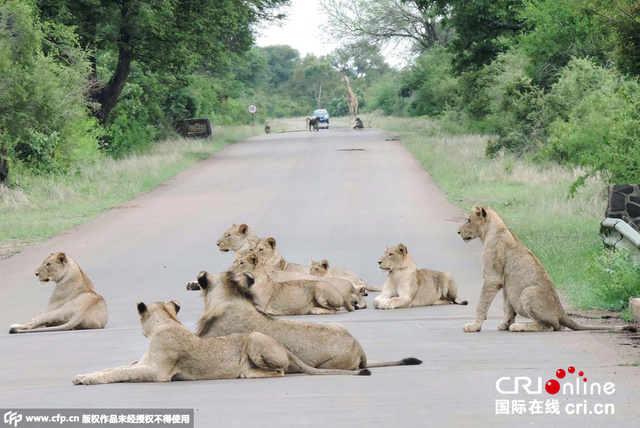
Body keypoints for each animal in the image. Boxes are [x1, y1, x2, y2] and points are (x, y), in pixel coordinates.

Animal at [72, 298, 368, 384]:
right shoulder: (144, 363)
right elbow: (113, 367)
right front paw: (83, 375)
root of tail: (284, 347)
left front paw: (87, 380)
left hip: (256, 337)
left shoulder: (157, 373)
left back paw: (247, 373)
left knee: (280, 371)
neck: (166, 323)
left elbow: (119, 373)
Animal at [458, 206, 636, 332]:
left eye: (468, 220)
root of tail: (561, 312)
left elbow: (482, 304)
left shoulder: (492, 278)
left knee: (551, 326)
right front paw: (505, 323)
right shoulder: (506, 282)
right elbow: (507, 306)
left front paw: (474, 326)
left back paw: (519, 327)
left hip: (528, 292)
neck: (492, 230)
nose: (458, 232)